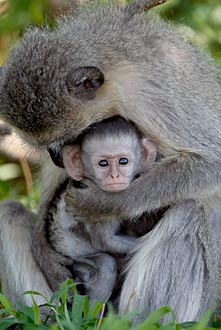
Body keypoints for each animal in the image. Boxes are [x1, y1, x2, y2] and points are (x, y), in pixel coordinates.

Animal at [38, 117, 156, 300]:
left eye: (123, 161)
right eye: (103, 163)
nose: (114, 176)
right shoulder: (96, 209)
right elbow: (105, 241)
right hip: (77, 259)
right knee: (106, 264)